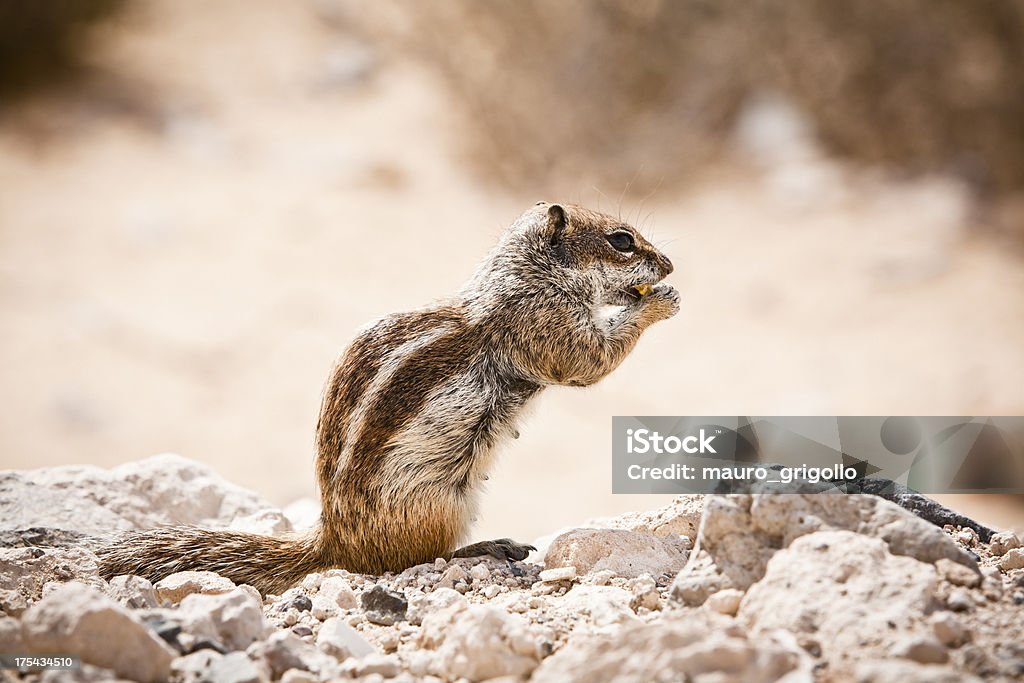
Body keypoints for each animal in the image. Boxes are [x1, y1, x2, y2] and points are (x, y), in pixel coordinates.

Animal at [97, 201, 679, 593]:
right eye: (621, 240)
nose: (670, 266)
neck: (522, 275)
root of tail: (332, 542)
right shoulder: (543, 324)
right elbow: (589, 360)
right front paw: (660, 302)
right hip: (440, 507)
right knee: (404, 563)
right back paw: (486, 547)